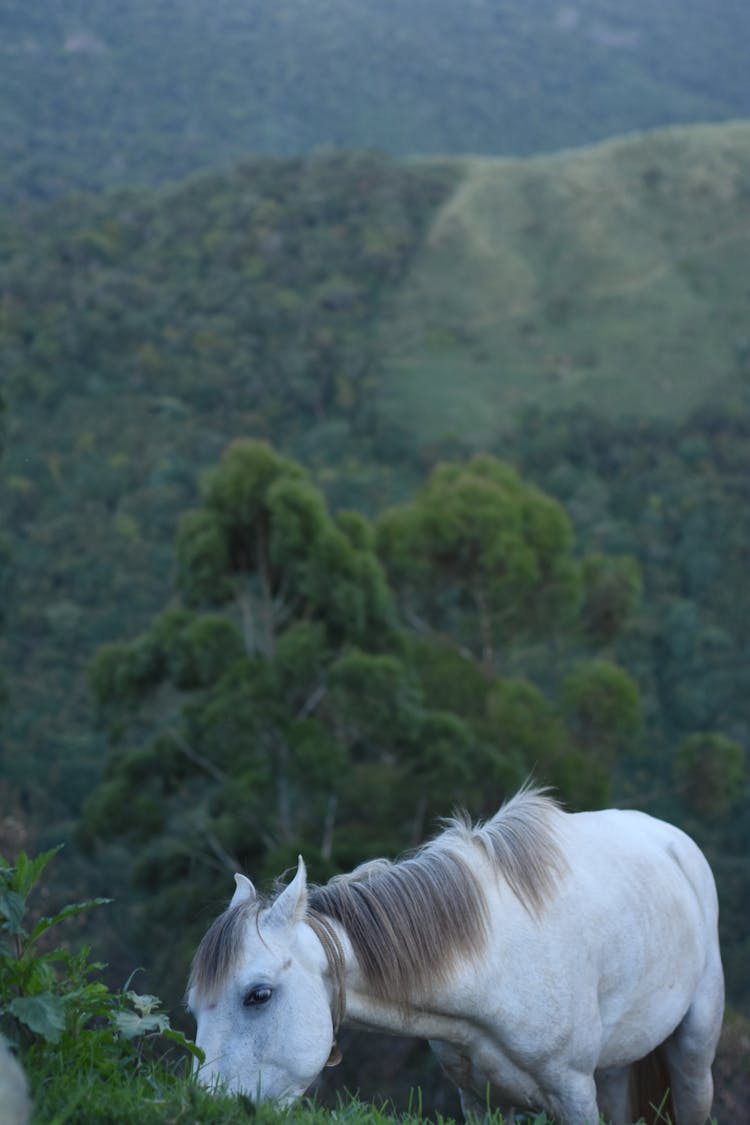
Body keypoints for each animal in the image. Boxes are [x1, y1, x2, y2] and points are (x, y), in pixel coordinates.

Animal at [184, 792, 724, 1125]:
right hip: (614, 1066)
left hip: (694, 1051)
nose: (205, 1105)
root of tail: (673, 841)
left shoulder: (573, 1092)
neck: (494, 967)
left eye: (258, 995)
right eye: (193, 1008)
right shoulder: (480, 1100)